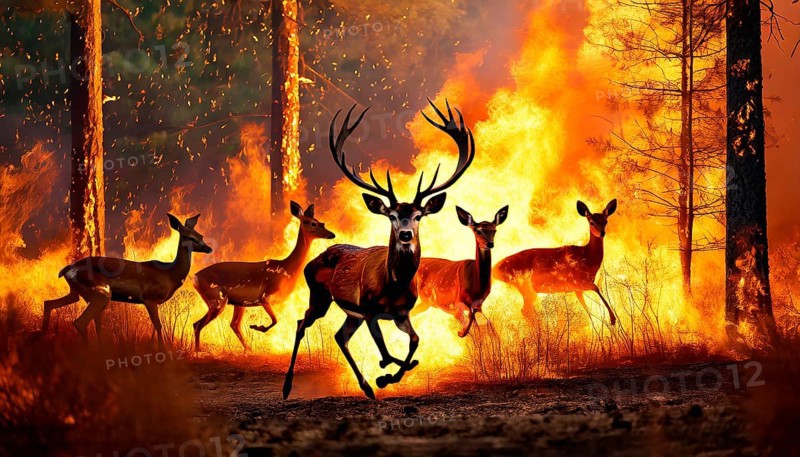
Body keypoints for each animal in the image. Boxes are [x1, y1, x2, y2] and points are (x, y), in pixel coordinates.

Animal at [41, 214, 213, 348]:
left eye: (201, 235)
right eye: (189, 237)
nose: (209, 248)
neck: (170, 274)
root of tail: (66, 270)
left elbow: (155, 327)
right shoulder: (149, 298)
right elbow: (158, 325)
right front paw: (163, 351)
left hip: (78, 293)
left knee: (49, 303)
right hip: (101, 293)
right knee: (80, 322)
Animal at [191, 201, 335, 352]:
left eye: (322, 223)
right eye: (312, 223)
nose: (331, 234)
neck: (287, 269)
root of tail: (195, 278)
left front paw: (256, 327)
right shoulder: (265, 296)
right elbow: (275, 320)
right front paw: (257, 327)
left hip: (236, 303)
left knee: (233, 324)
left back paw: (248, 349)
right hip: (217, 299)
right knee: (198, 325)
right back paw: (198, 351)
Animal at [283, 100, 475, 399]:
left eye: (419, 216)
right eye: (391, 216)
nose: (406, 234)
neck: (393, 286)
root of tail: (312, 261)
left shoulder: (402, 313)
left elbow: (415, 342)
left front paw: (391, 376)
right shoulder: (370, 310)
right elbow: (385, 352)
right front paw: (385, 374)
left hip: (348, 313)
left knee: (339, 336)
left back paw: (366, 387)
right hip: (320, 297)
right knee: (301, 323)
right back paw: (288, 386)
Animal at [412, 205, 509, 338]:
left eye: (494, 230)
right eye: (478, 231)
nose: (490, 244)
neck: (477, 286)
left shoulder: (478, 304)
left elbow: (487, 322)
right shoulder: (458, 301)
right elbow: (471, 320)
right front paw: (462, 332)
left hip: (425, 302)